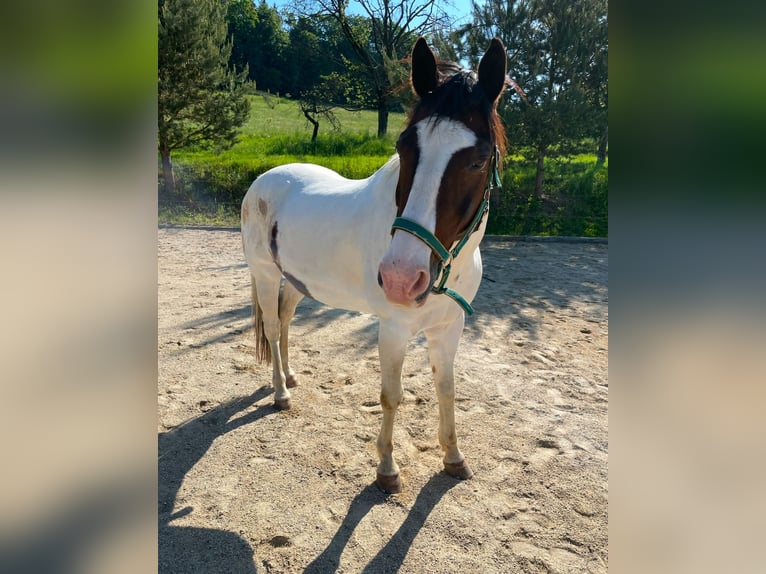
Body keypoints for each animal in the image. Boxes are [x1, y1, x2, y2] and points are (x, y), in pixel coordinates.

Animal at [243, 37, 508, 496]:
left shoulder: (449, 327)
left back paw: (291, 377)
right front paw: (386, 468)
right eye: (404, 148)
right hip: (265, 274)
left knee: (286, 320)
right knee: (273, 329)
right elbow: (391, 395)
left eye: (477, 160)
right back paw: (280, 394)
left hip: (295, 281)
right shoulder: (394, 329)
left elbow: (447, 390)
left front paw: (454, 458)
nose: (401, 278)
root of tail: (265, 179)